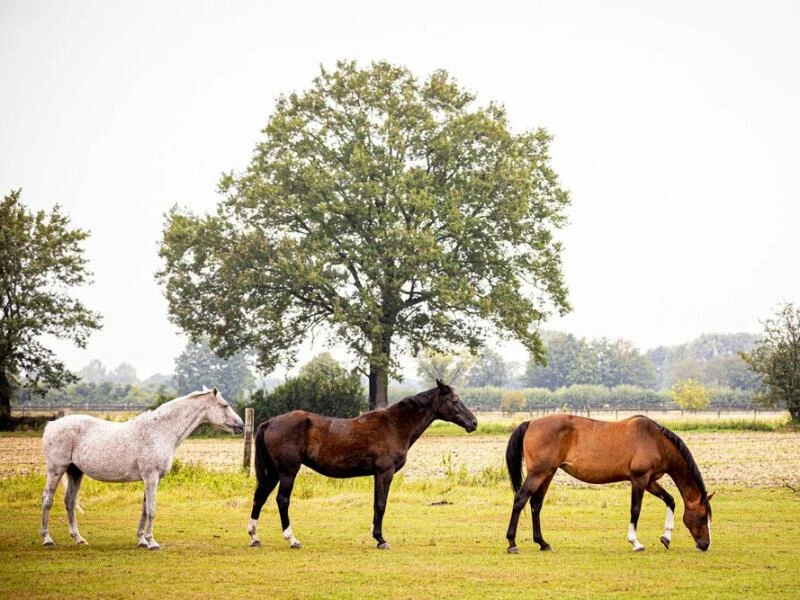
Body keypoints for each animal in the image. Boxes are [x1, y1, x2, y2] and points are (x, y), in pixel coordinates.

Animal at [40, 386, 244, 552]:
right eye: (224, 405)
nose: (241, 425)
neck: (160, 430)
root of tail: (52, 425)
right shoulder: (151, 477)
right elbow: (152, 510)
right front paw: (152, 542)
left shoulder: (154, 479)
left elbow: (144, 509)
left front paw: (142, 540)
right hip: (56, 470)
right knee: (47, 500)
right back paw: (47, 539)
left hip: (75, 472)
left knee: (70, 502)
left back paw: (79, 538)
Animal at [248, 380, 476, 548]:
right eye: (455, 400)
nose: (473, 423)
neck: (394, 426)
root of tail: (270, 422)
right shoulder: (385, 472)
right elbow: (381, 504)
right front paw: (381, 540)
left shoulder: (377, 474)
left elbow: (376, 504)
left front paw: (376, 535)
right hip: (287, 472)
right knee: (282, 500)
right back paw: (292, 539)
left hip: (274, 473)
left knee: (260, 497)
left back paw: (254, 537)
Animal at [506, 414, 712, 556]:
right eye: (702, 516)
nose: (705, 545)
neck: (655, 440)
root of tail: (531, 423)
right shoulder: (639, 479)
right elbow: (635, 509)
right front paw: (635, 543)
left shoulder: (650, 481)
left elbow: (670, 500)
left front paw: (666, 538)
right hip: (538, 473)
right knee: (520, 500)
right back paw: (512, 544)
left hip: (547, 473)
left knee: (536, 504)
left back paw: (542, 543)